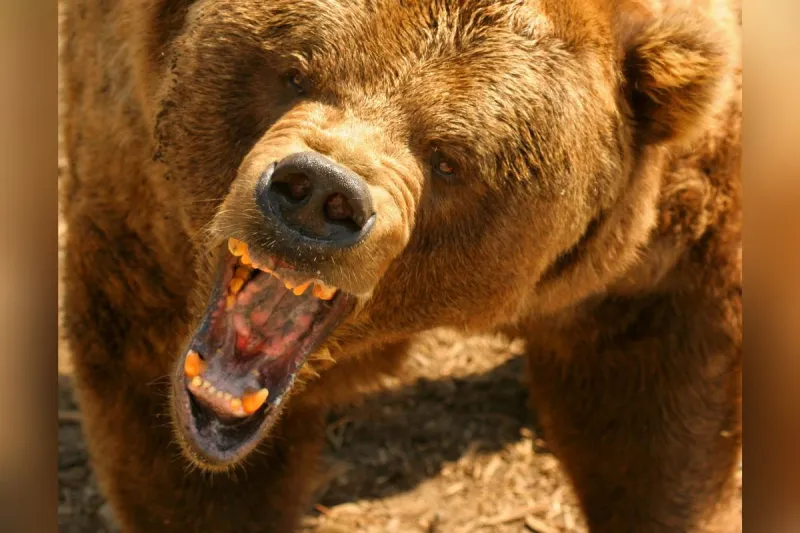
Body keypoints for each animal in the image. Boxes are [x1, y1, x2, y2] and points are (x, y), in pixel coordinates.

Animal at [60, 0, 741, 531]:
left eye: (449, 158)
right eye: (293, 72)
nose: (318, 194)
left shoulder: (660, 247)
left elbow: (651, 420)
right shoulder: (143, 212)